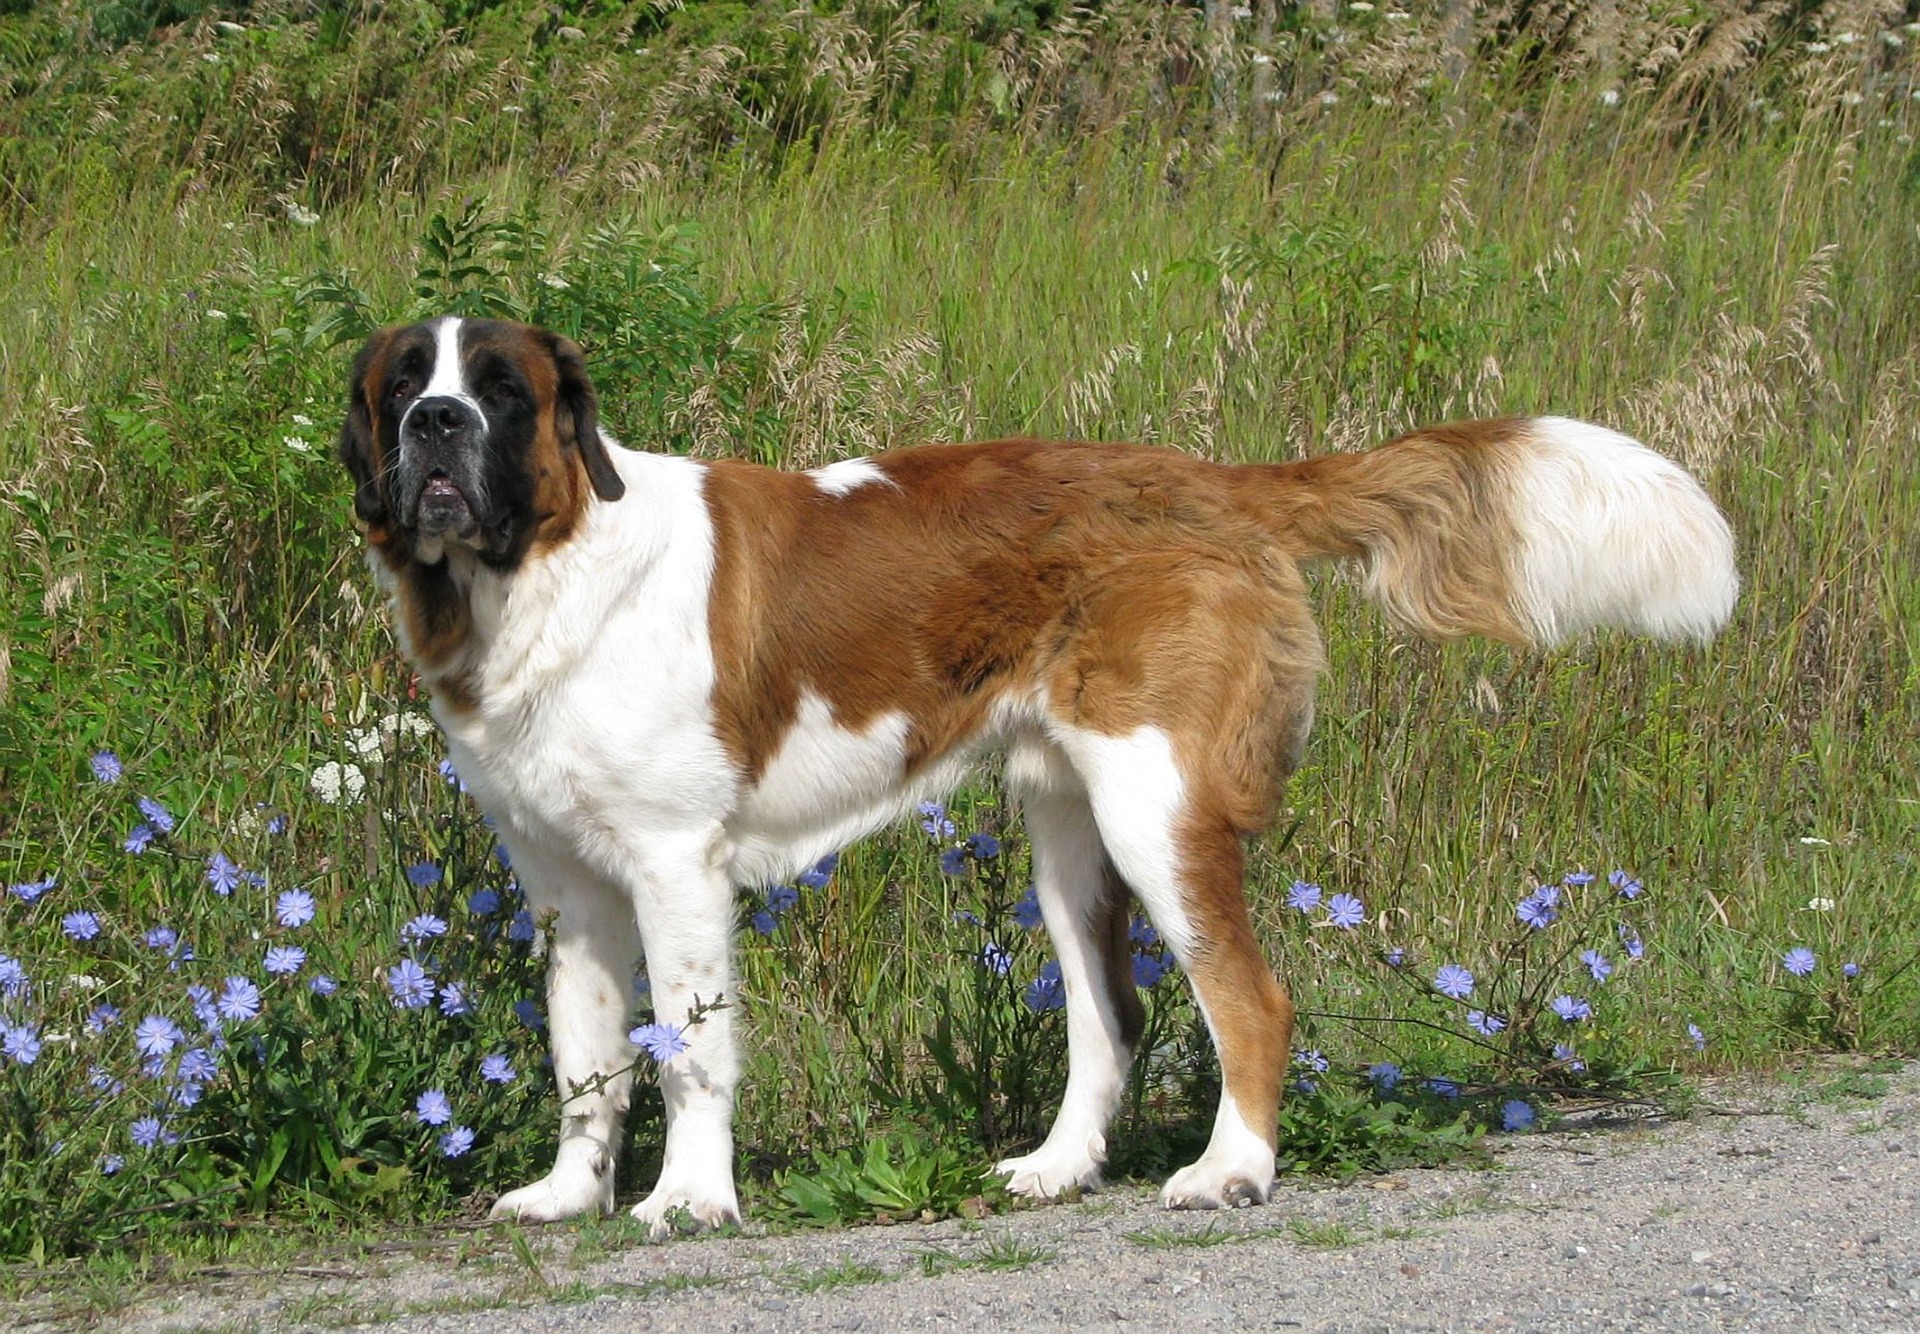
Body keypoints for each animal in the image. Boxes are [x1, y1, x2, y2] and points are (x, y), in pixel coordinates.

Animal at [337, 312, 1751, 1228]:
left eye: (502, 389)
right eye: (405, 383)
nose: (438, 423)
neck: (539, 567)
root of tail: (1211, 482)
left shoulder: (676, 861)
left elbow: (686, 1046)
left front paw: (689, 1198)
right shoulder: (566, 885)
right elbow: (586, 1051)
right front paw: (568, 1193)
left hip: (1156, 802)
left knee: (1250, 996)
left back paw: (1232, 1171)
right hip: (1072, 827)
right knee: (1108, 1013)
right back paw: (1060, 1168)